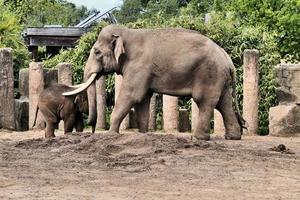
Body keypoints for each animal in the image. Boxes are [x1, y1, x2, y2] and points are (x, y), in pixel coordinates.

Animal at [64, 24, 245, 141]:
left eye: (96, 52)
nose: (93, 130)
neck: (127, 33)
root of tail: (228, 59)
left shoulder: (139, 67)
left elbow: (132, 95)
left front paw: (111, 135)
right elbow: (143, 100)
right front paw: (143, 134)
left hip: (209, 74)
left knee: (205, 102)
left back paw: (198, 138)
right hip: (220, 78)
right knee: (223, 103)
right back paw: (232, 137)